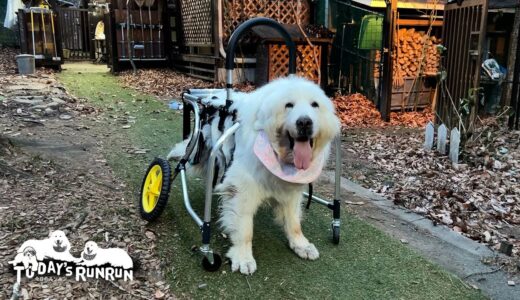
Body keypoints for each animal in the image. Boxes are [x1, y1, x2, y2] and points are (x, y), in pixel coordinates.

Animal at [172, 77, 342, 274]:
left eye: (315, 105)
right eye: (288, 105)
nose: (305, 122)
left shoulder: (290, 191)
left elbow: (294, 222)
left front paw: (301, 245)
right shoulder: (243, 189)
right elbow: (245, 228)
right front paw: (243, 258)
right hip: (198, 150)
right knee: (182, 158)